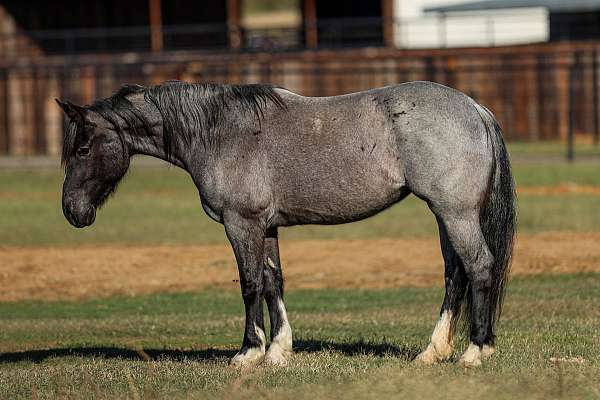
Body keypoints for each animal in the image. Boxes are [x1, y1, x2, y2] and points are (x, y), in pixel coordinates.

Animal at [57, 81, 516, 368]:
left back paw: (475, 351)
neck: (221, 132)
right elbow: (272, 280)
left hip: (455, 214)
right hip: (444, 215)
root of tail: (475, 109)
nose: (72, 211)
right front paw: (279, 350)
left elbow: (249, 285)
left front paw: (248, 352)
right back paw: (434, 351)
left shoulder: (240, 224)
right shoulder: (266, 226)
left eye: (83, 148)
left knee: (478, 267)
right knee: (454, 275)